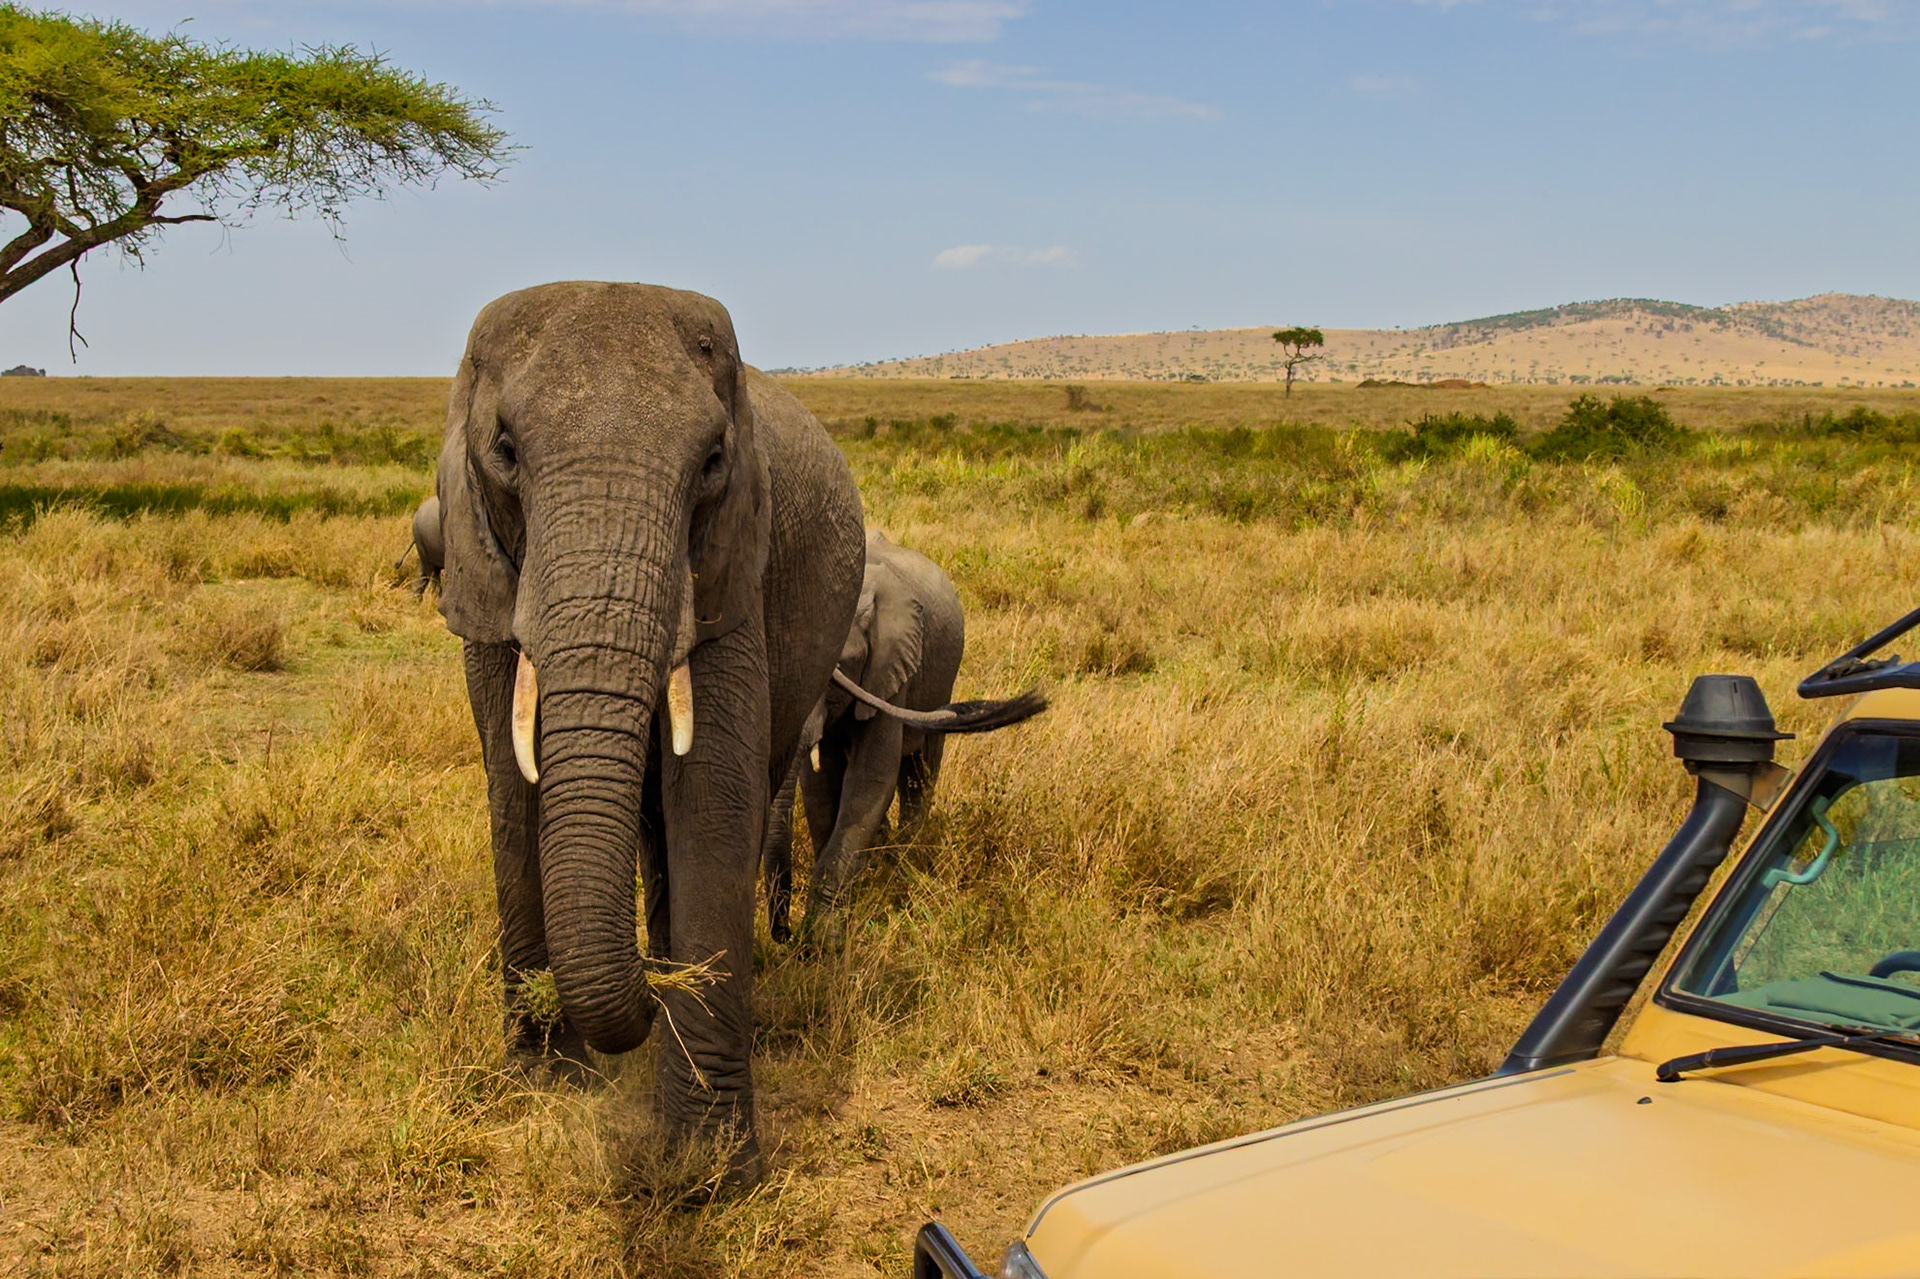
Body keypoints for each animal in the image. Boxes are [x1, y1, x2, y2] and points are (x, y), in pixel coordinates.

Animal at [433, 281, 868, 1179]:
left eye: (711, 462)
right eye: (505, 450)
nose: (658, 984)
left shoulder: (733, 566)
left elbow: (714, 798)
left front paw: (707, 1172)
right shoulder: (485, 576)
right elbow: (512, 789)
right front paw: (547, 1088)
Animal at [762, 529, 1047, 944]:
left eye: (836, 670)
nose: (785, 933)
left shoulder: (892, 668)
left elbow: (870, 779)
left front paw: (824, 937)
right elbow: (819, 783)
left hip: (939, 681)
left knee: (919, 773)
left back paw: (903, 864)